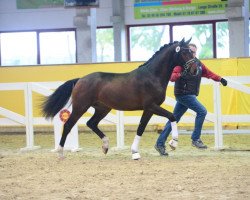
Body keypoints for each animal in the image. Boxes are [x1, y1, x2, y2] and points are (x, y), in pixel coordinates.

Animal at [42, 38, 197, 159]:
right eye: (185, 52)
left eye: (191, 52)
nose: (195, 69)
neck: (152, 76)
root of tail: (80, 79)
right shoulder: (151, 106)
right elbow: (170, 117)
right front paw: (173, 143)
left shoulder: (149, 109)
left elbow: (142, 127)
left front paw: (135, 152)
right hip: (80, 107)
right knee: (68, 125)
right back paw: (60, 153)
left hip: (102, 108)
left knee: (91, 123)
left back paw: (105, 146)